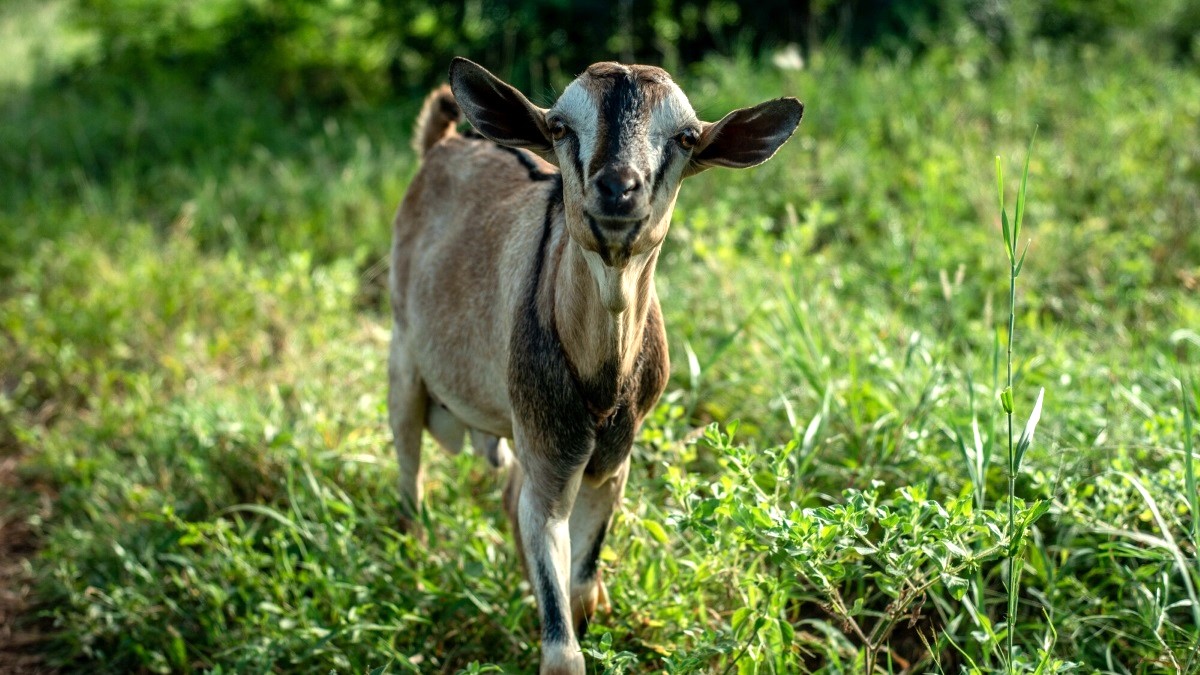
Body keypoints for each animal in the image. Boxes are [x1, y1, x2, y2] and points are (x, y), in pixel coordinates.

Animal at [388, 59, 801, 672]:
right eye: (559, 127)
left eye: (686, 137)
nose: (617, 188)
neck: (603, 381)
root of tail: (440, 145)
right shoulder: (549, 462)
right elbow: (562, 647)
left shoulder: (609, 462)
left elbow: (581, 587)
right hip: (402, 358)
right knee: (410, 478)